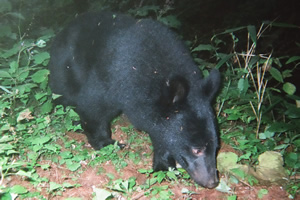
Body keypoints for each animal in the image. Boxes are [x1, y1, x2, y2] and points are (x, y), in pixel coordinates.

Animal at [48, 11, 220, 188]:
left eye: (216, 147)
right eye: (196, 149)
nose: (212, 182)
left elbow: (163, 136)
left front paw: (163, 166)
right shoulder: (113, 77)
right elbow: (93, 106)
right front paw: (107, 143)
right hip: (66, 66)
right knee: (62, 94)